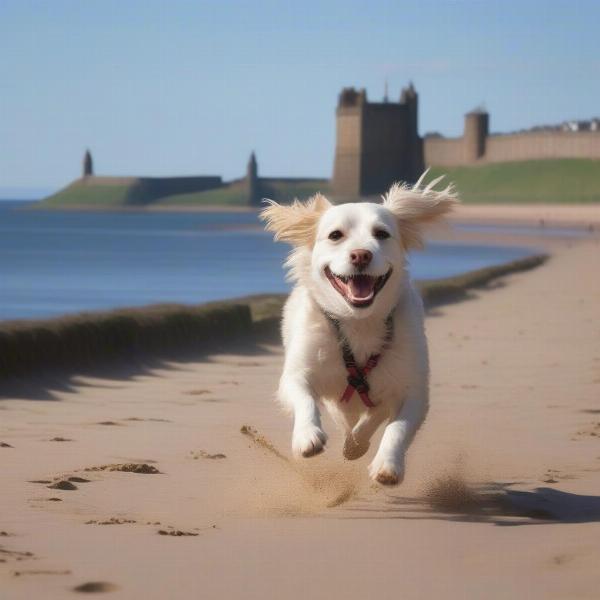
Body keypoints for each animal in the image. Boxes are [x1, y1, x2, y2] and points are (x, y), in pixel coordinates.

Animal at [260, 173, 458, 482]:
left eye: (382, 234)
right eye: (335, 235)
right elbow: (305, 399)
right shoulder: (297, 375)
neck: (358, 323)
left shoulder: (413, 391)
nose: (361, 255)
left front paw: (387, 464)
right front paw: (307, 436)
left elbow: (396, 428)